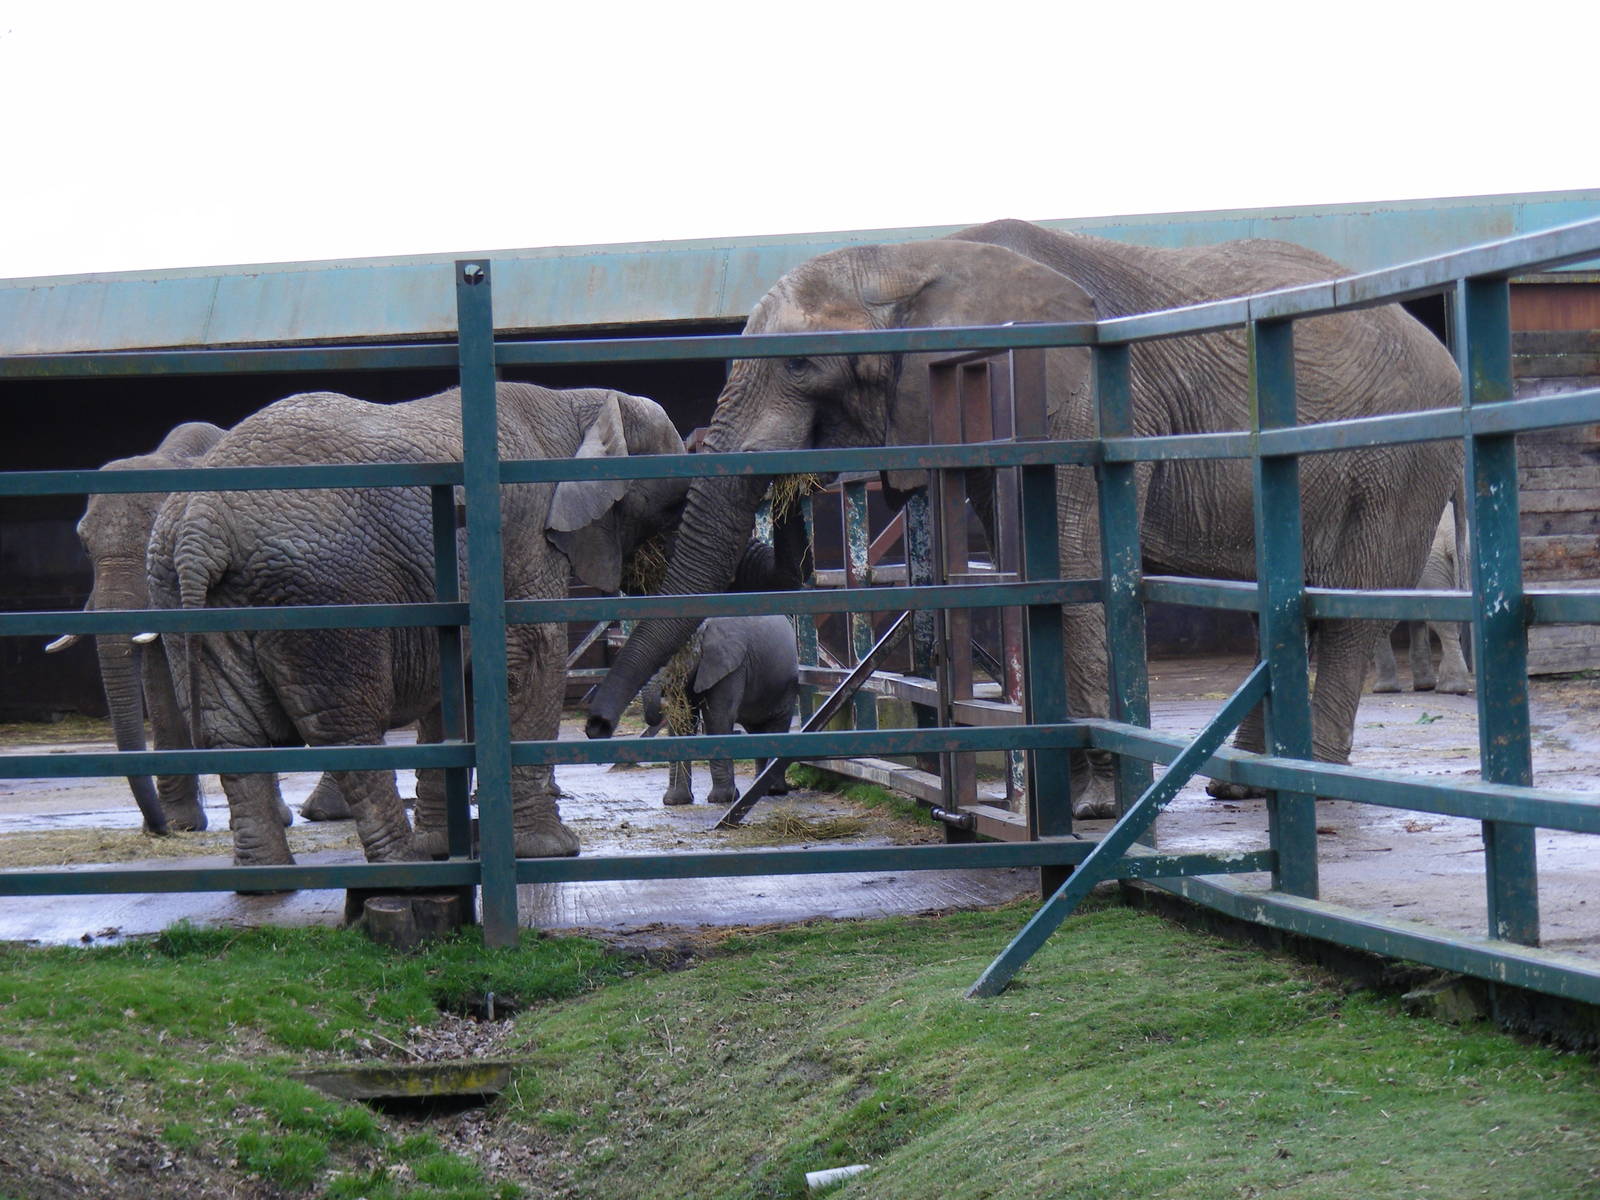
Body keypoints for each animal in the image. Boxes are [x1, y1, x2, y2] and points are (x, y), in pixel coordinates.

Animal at [148, 383, 689, 866]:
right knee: (347, 732)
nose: (598, 726)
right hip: (327, 590)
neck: (585, 405)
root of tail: (201, 525)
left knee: (234, 737)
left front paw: (445, 844)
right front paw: (551, 849)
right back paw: (402, 867)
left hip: (185, 594)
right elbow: (528, 661)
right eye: (673, 507)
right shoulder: (525, 538)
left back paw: (269, 880)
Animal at [641, 614, 800, 806]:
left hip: (786, 685)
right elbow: (682, 721)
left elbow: (717, 719)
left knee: (777, 725)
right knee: (757, 731)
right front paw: (675, 801)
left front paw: (721, 799)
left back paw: (773, 790)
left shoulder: (730, 666)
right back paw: (759, 786)